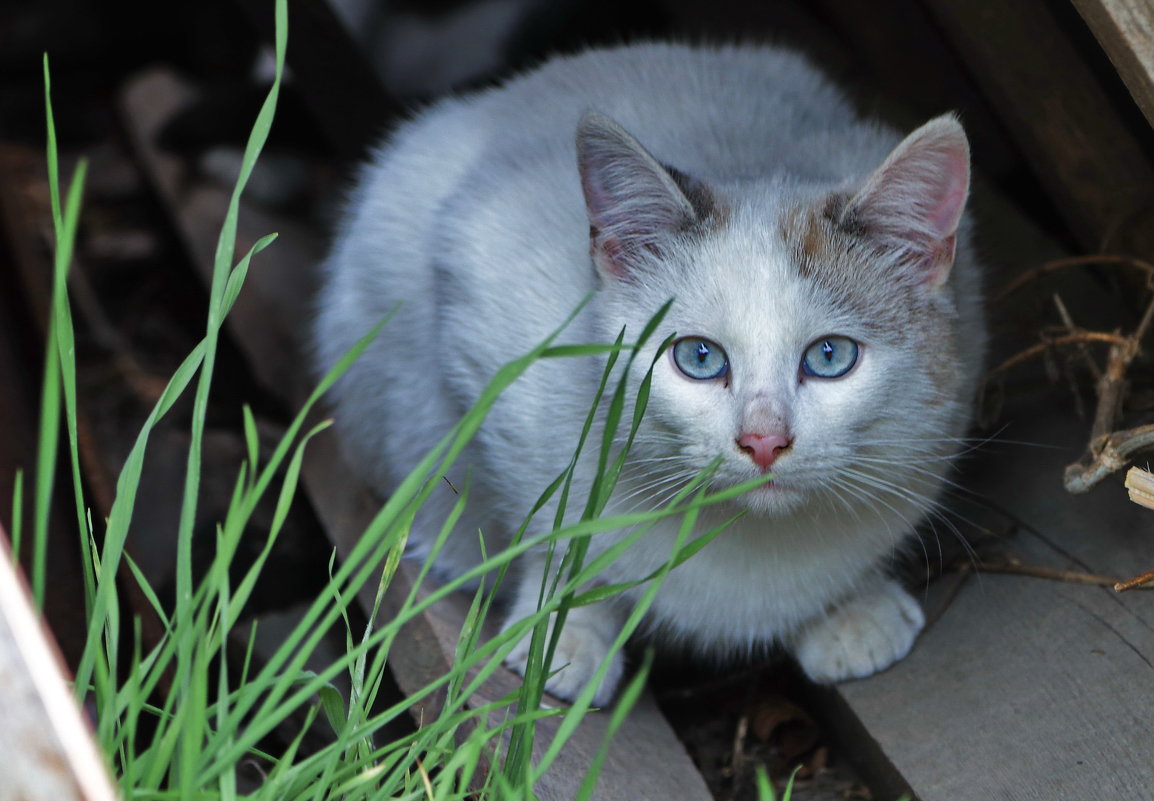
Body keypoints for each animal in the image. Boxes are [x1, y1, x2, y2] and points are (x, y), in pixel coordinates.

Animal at [313, 40, 983, 706]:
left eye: (829, 357)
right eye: (699, 358)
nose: (763, 441)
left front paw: (849, 607)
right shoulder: (477, 298)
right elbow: (542, 521)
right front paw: (563, 631)